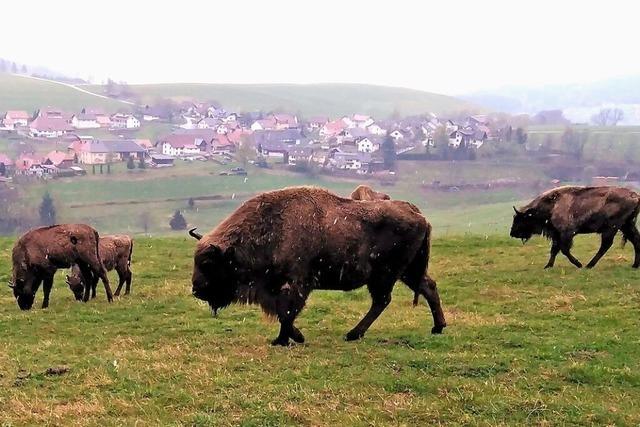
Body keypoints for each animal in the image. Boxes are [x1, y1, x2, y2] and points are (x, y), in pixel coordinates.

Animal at [190, 187, 444, 348]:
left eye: (207, 263)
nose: (196, 290)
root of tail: (418, 214)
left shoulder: (298, 284)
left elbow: (287, 311)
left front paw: (283, 340)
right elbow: (282, 311)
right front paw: (294, 337)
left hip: (386, 275)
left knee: (382, 300)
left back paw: (353, 334)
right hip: (407, 271)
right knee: (427, 287)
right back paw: (438, 328)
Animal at [510, 186, 640, 270]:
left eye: (520, 219)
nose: (512, 233)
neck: (552, 205)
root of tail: (635, 196)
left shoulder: (566, 233)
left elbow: (564, 250)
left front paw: (578, 264)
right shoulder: (556, 234)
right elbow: (554, 250)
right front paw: (547, 266)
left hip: (611, 228)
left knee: (605, 245)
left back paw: (588, 265)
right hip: (626, 225)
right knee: (635, 240)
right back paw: (634, 265)